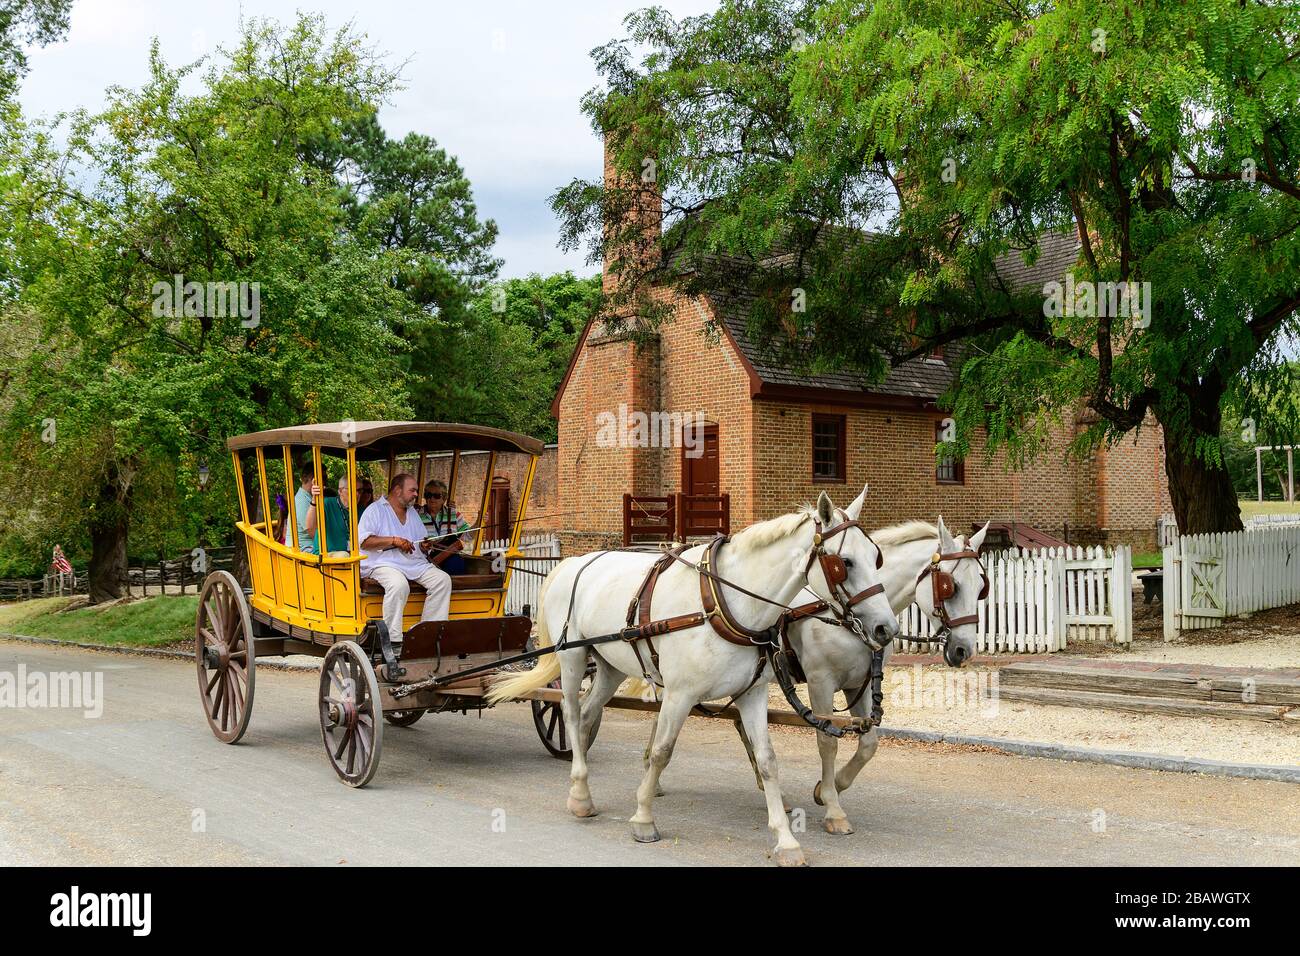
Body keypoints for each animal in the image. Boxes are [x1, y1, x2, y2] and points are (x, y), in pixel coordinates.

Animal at [488, 486, 898, 866]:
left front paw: (786, 840)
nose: (887, 628)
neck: (725, 604)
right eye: (844, 562)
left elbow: (767, 760)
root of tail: (572, 563)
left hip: (609, 667)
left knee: (590, 713)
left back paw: (583, 786)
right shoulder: (679, 694)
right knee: (571, 715)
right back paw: (578, 793)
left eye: (876, 557)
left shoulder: (752, 694)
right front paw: (643, 818)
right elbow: (661, 751)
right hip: (572, 657)